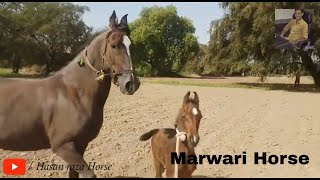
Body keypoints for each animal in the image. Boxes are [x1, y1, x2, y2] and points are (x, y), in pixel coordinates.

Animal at [0, 10, 140, 177]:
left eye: (131, 46)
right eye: (114, 45)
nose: (131, 84)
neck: (74, 94)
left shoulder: (80, 145)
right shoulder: (64, 147)